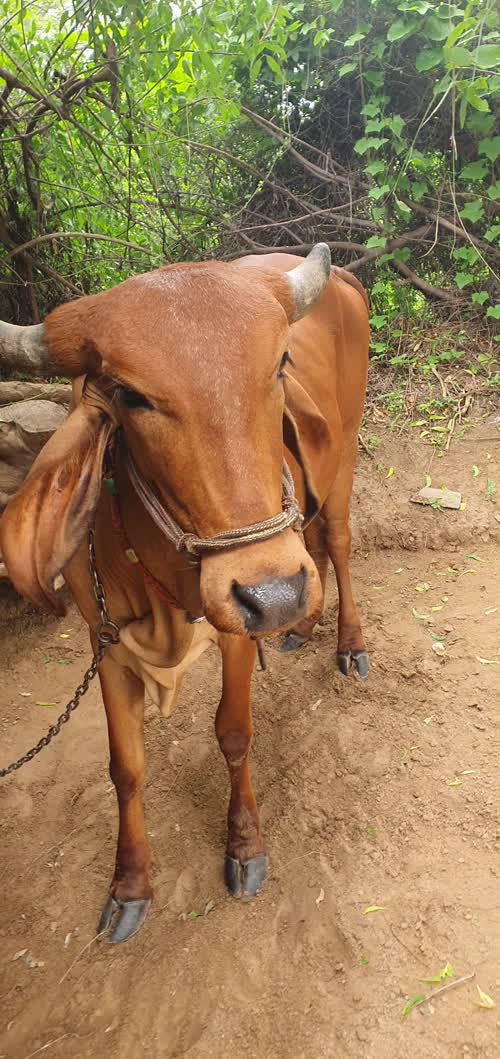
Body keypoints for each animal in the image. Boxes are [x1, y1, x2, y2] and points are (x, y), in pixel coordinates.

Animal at [0, 245, 369, 943]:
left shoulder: (232, 625)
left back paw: (345, 641)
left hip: (342, 463)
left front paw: (245, 846)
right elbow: (124, 768)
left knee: (332, 540)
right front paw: (130, 886)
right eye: (130, 396)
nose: (273, 595)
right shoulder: (106, 644)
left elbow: (233, 732)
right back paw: (301, 628)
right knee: (308, 537)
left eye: (279, 363)